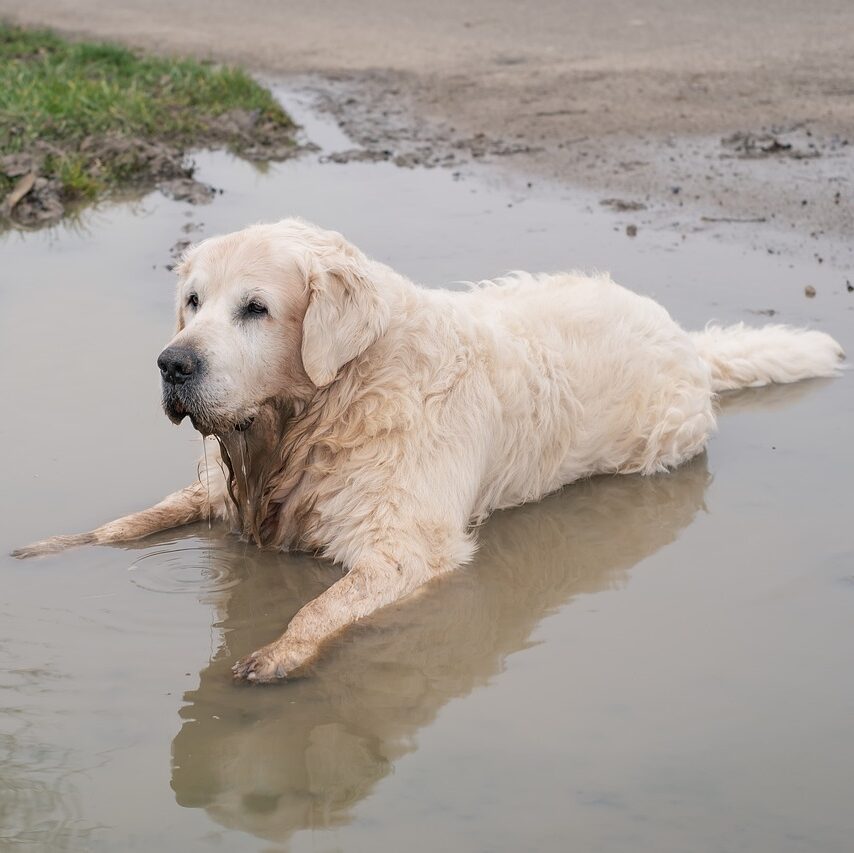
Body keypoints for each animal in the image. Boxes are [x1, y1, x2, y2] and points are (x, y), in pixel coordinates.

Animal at [15, 218, 848, 680]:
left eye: (255, 308)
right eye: (192, 301)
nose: (172, 363)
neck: (319, 409)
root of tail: (686, 339)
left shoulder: (404, 544)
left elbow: (323, 603)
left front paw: (278, 652)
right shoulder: (219, 491)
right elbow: (126, 524)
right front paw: (50, 549)